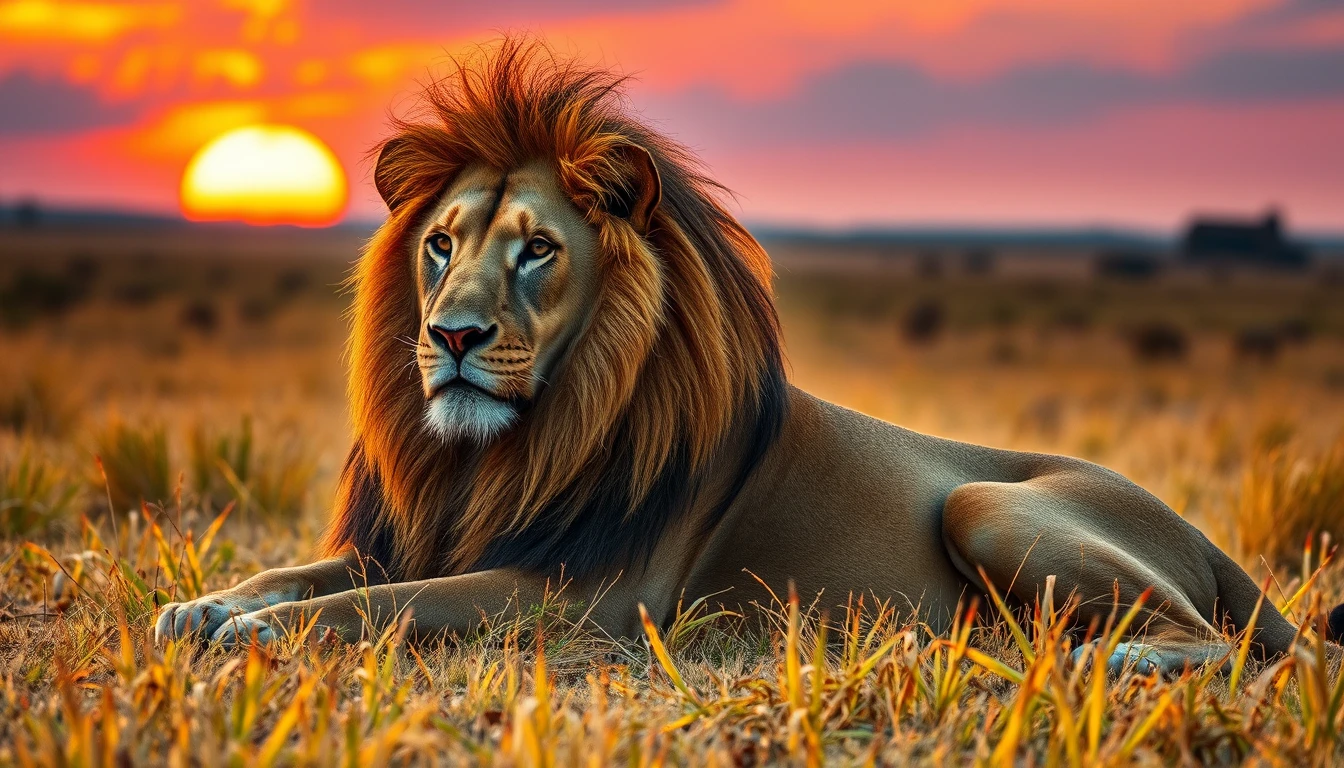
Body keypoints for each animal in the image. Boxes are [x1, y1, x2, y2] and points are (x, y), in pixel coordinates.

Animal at [156, 41, 1344, 675]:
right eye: (441, 244)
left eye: (538, 249)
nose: (450, 336)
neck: (499, 455)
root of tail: (1198, 530)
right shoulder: (417, 539)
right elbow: (310, 574)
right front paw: (205, 607)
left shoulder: (587, 597)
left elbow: (377, 607)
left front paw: (255, 631)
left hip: (989, 507)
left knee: (1239, 643)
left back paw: (1124, 657)